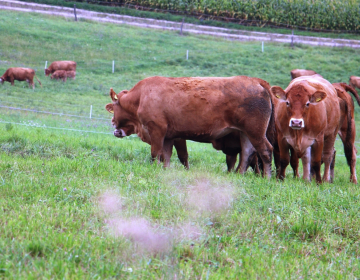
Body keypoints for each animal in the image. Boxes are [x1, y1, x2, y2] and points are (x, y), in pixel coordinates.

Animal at [105, 75, 274, 177]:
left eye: (114, 107)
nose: (113, 122)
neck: (141, 96)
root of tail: (255, 81)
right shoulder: (169, 136)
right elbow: (166, 155)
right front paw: (165, 170)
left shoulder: (157, 130)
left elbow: (155, 153)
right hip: (246, 133)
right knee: (247, 153)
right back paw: (240, 175)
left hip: (256, 132)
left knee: (265, 151)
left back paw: (267, 177)